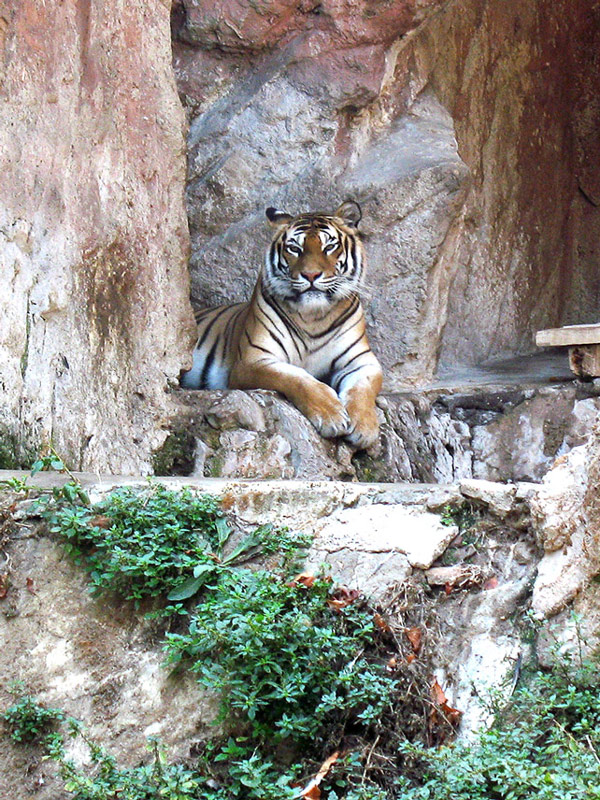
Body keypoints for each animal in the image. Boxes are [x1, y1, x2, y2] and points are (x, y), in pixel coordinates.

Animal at [180, 201, 382, 450]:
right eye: (294, 248)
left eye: (329, 247)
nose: (311, 275)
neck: (313, 317)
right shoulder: (254, 361)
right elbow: (296, 377)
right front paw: (330, 414)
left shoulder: (363, 362)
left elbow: (363, 389)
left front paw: (364, 427)